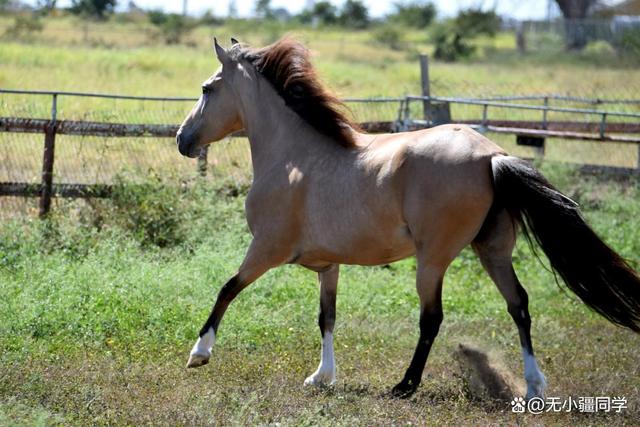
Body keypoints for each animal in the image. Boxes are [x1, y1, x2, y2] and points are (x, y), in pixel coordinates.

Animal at [176, 37, 640, 402]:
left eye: (206, 88)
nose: (183, 140)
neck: (294, 158)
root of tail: (491, 156)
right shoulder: (328, 265)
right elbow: (327, 317)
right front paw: (322, 377)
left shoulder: (266, 249)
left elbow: (227, 289)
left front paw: (199, 353)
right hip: (493, 250)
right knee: (519, 304)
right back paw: (533, 386)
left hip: (432, 259)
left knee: (432, 317)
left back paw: (405, 385)